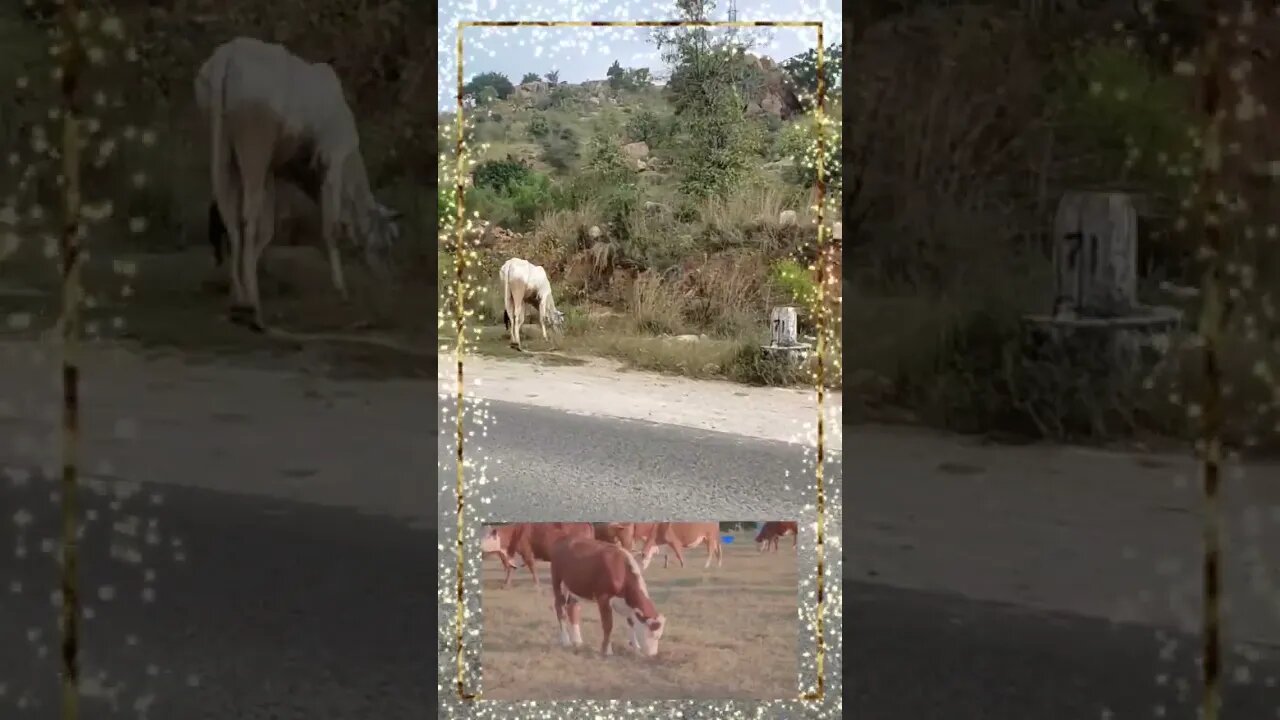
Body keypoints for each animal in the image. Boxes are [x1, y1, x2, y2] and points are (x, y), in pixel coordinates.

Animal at [190, 37, 394, 330]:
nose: (388, 282)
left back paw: (239, 300)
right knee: (247, 216)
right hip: (255, 143)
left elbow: (268, 230)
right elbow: (330, 228)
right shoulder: (333, 159)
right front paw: (341, 290)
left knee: (228, 214)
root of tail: (227, 57)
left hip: (224, 147)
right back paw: (252, 307)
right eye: (384, 246)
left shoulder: (276, 170)